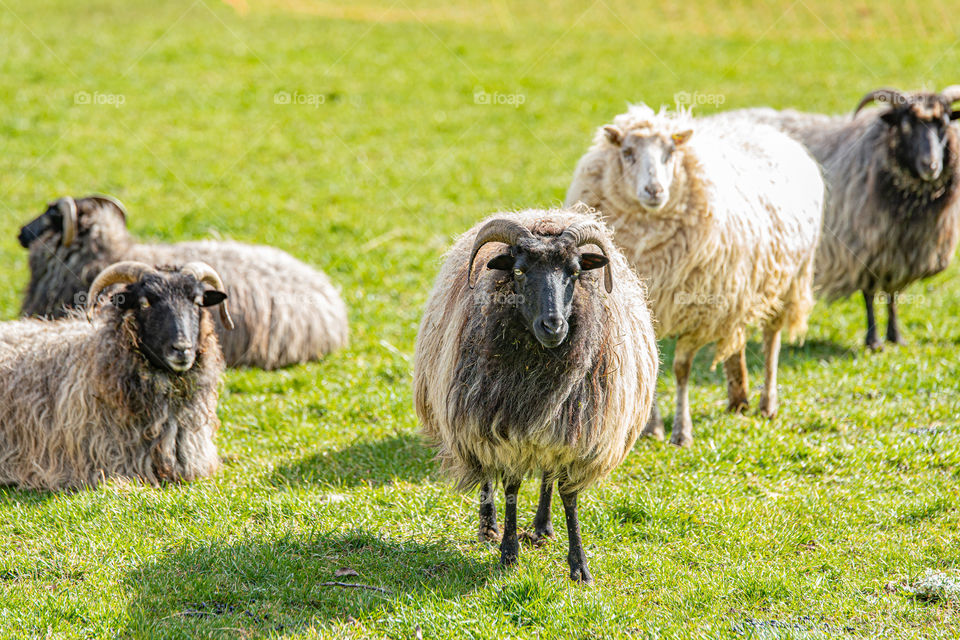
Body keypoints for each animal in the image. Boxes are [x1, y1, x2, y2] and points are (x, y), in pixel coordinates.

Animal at [412, 208, 660, 584]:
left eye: (575, 272)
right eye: (518, 271)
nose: (553, 326)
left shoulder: (577, 436)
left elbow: (568, 497)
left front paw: (579, 566)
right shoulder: (504, 430)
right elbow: (511, 490)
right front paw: (509, 553)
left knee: (546, 477)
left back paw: (542, 527)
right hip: (476, 419)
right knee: (487, 476)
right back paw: (488, 527)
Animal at [564, 105, 824, 444]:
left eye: (670, 152)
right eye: (627, 152)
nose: (654, 190)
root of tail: (773, 131)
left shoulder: (697, 312)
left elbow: (681, 369)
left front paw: (681, 431)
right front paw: (653, 428)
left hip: (787, 281)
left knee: (771, 342)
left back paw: (768, 403)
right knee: (738, 341)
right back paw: (738, 398)